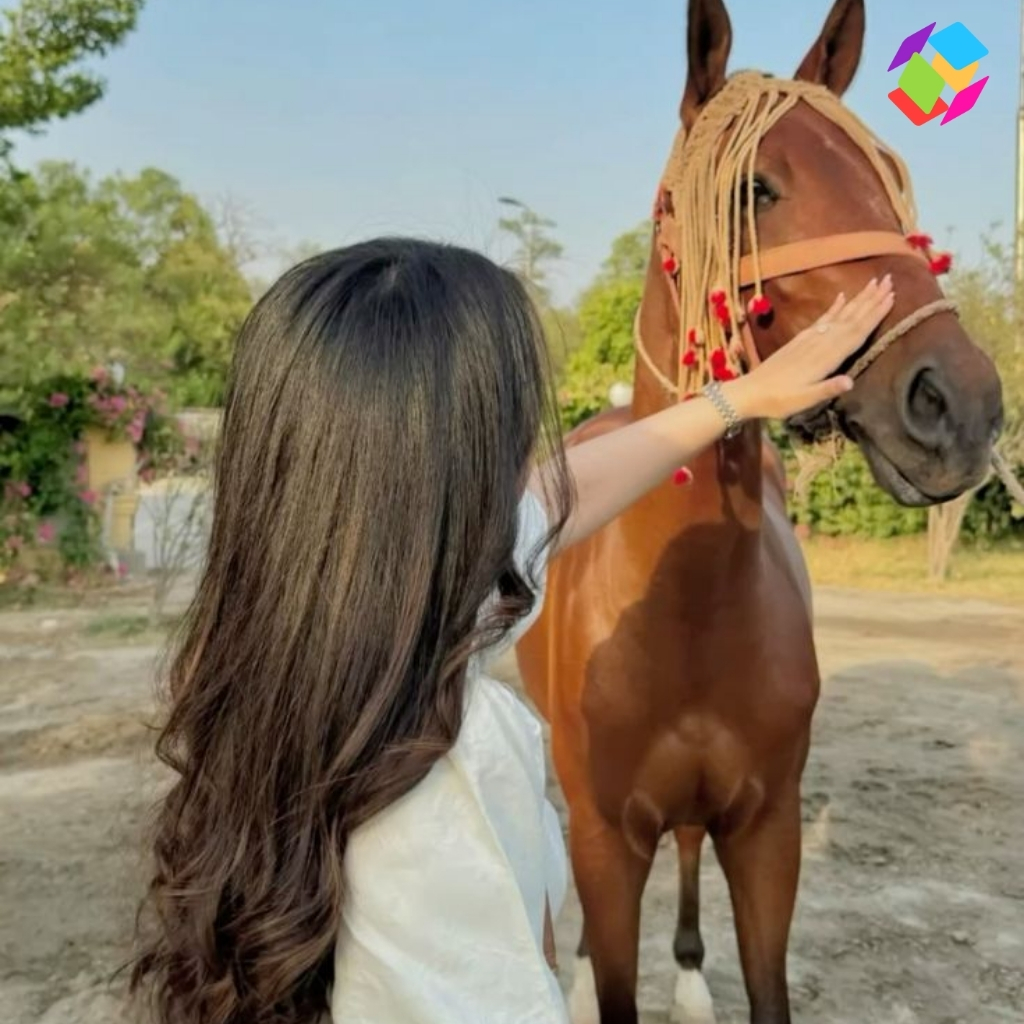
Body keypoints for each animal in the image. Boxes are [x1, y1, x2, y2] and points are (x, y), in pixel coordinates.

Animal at [515, 2, 1005, 1023]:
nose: (961, 406)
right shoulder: (606, 841)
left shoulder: (769, 834)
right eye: (755, 188)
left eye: (888, 187)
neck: (686, 606)